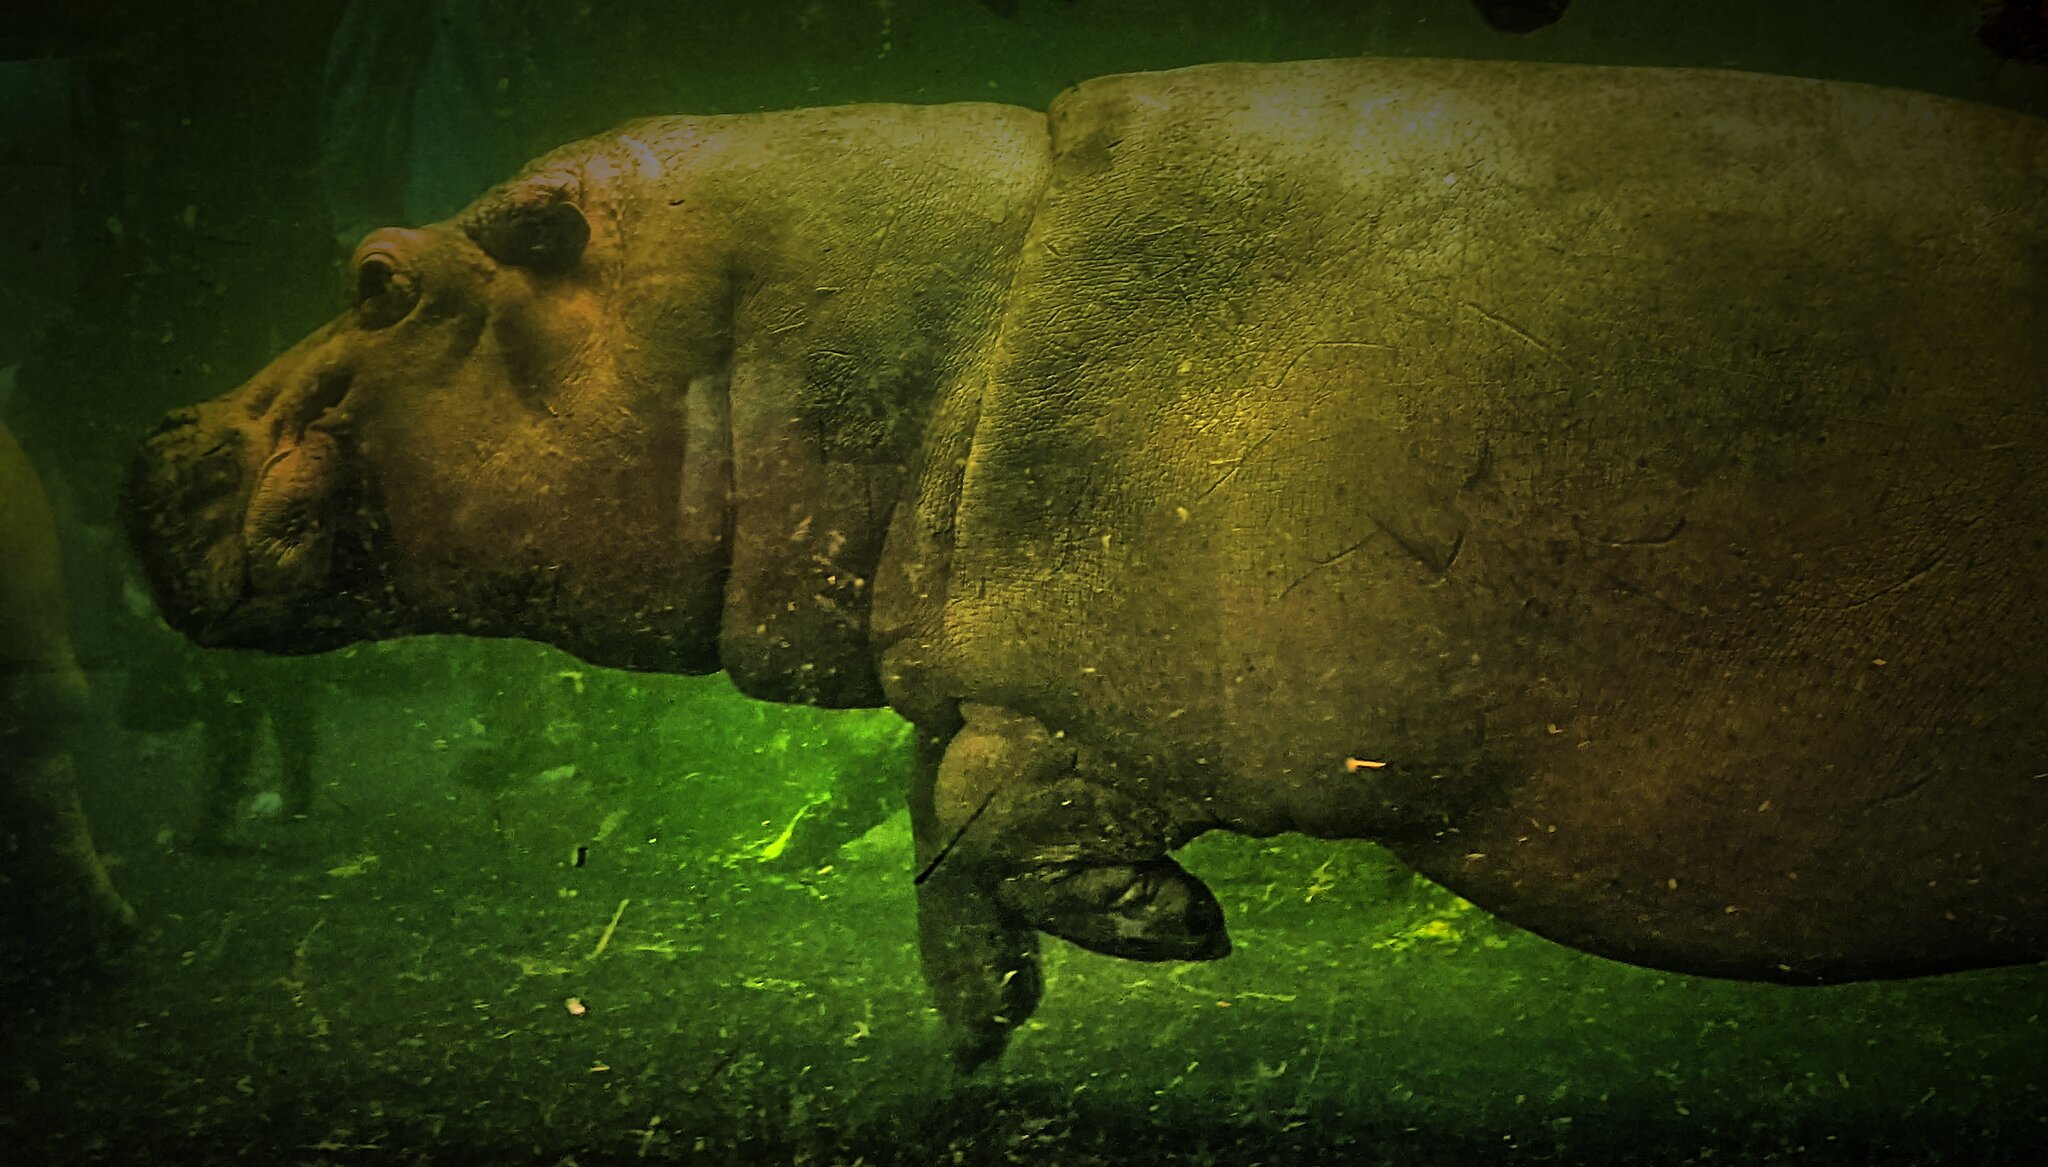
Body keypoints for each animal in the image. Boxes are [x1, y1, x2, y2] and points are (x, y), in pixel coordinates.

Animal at [124, 58, 2048, 1067]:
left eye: (380, 279)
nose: (146, 449)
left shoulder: (1139, 680)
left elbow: (981, 812)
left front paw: (1165, 923)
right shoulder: (994, 669)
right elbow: (937, 825)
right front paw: (985, 1027)